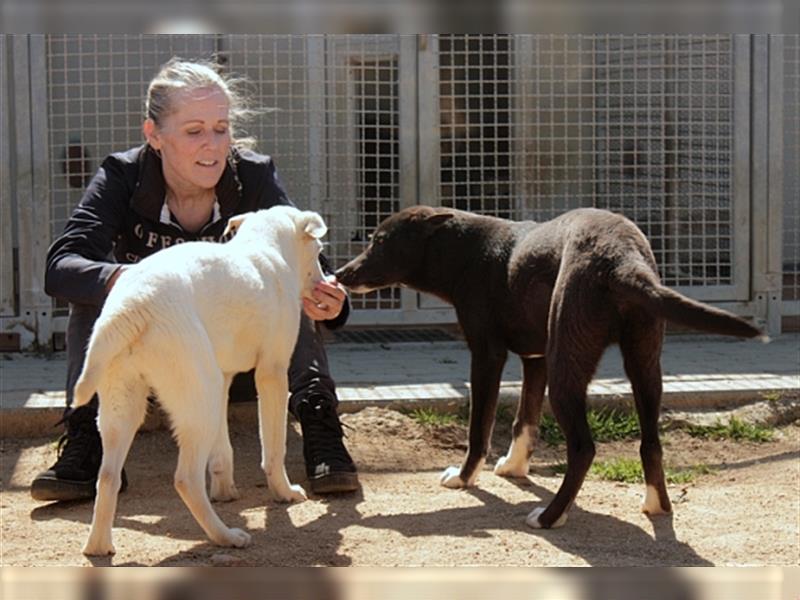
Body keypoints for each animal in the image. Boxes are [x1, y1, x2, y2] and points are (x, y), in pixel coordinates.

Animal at [72, 204, 328, 556]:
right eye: (318, 250)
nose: (326, 282)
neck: (266, 247)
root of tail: (131, 305)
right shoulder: (272, 374)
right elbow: (274, 448)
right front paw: (284, 492)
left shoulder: (224, 378)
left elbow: (222, 450)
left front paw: (225, 490)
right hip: (198, 401)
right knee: (186, 479)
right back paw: (226, 536)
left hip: (128, 406)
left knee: (108, 477)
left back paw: (98, 546)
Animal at [336, 206, 764, 528]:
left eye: (380, 241)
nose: (339, 274)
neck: (464, 251)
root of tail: (622, 260)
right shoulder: (536, 357)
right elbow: (524, 420)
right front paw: (514, 467)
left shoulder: (487, 356)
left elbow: (479, 429)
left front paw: (464, 477)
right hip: (643, 364)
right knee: (651, 442)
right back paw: (657, 504)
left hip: (566, 368)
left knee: (584, 447)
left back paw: (549, 516)